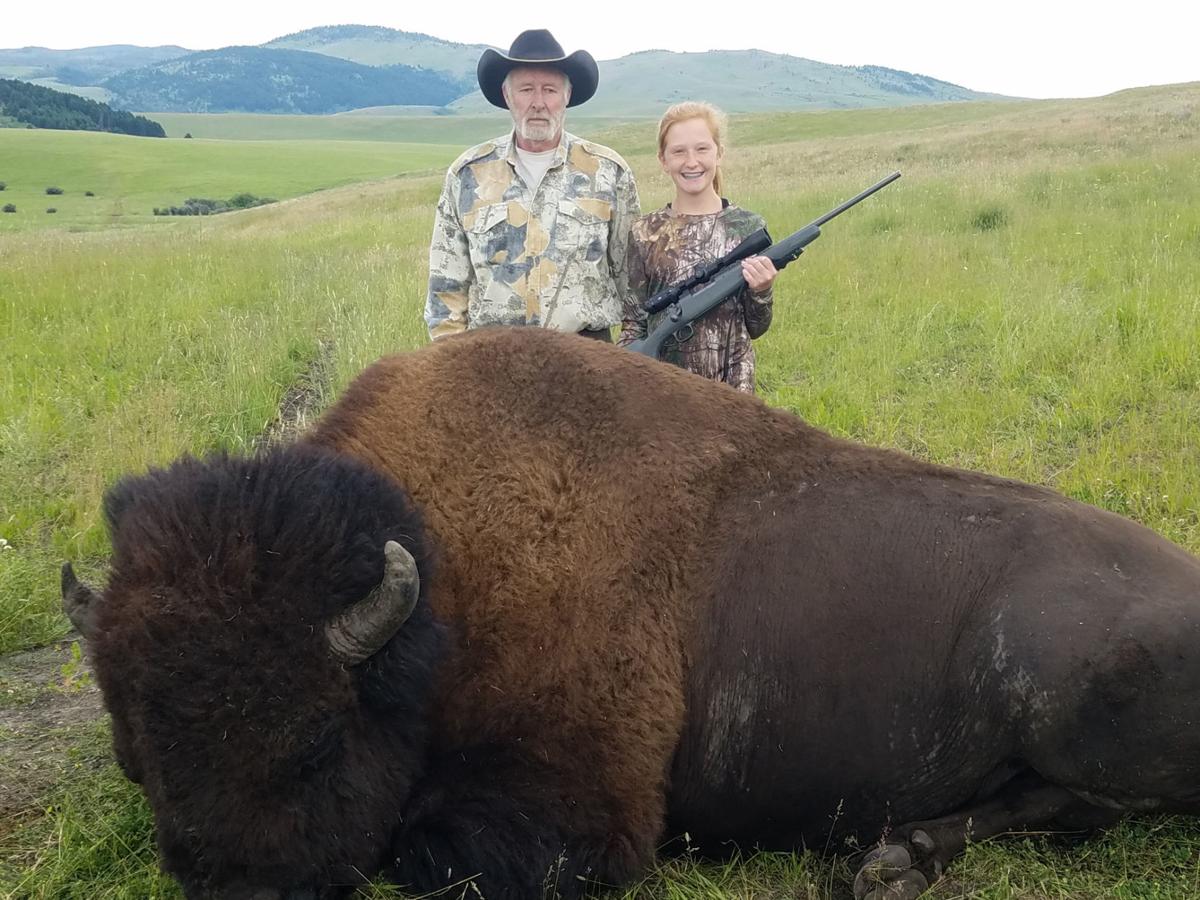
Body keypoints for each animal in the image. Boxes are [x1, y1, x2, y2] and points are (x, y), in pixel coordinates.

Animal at [63, 327, 1200, 900]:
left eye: (313, 746)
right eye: (136, 757)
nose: (236, 891)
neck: (445, 574)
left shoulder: (572, 815)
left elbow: (432, 854)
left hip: (1068, 708)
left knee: (1075, 805)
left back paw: (890, 862)